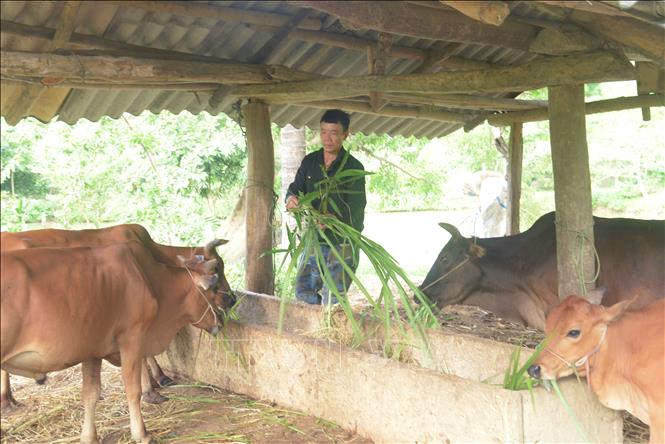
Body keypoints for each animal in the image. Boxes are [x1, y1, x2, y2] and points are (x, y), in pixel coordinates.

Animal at [1, 241, 226, 444]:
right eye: (213, 289)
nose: (222, 320)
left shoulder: (92, 350)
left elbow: (91, 394)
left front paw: (89, 437)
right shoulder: (132, 339)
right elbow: (133, 389)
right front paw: (142, 434)